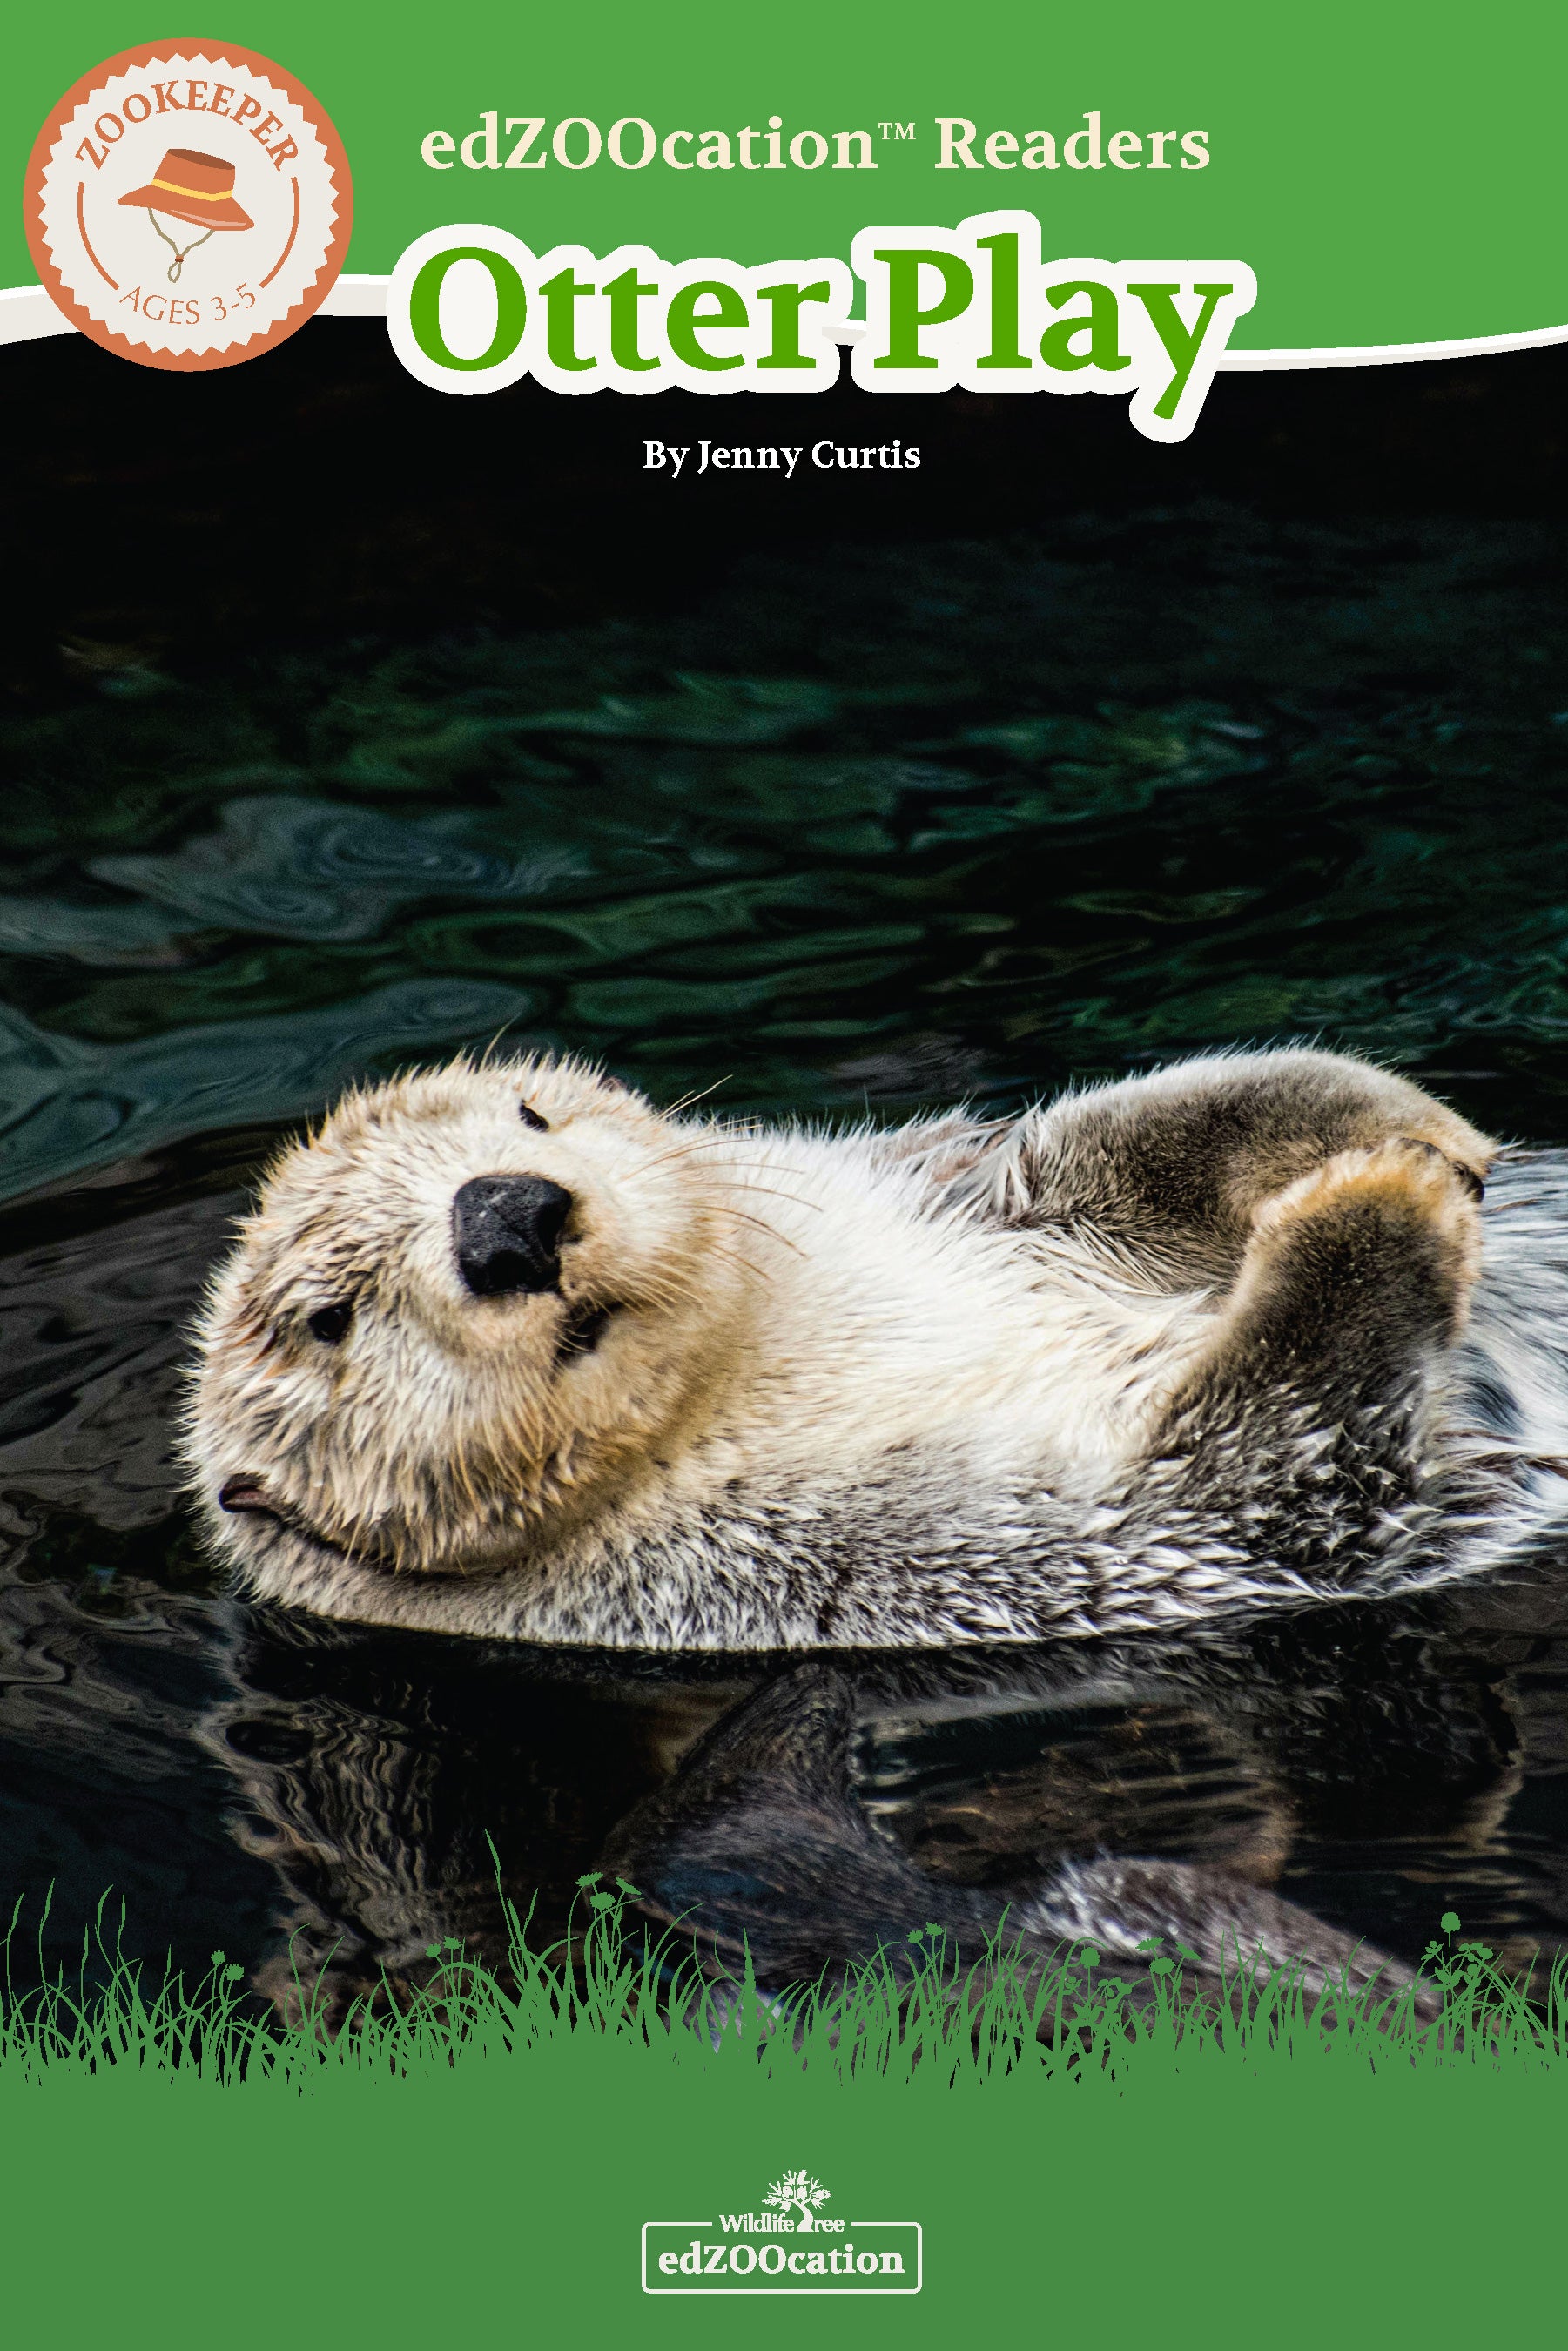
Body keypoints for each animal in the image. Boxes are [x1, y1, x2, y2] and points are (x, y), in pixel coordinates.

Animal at [184, 1045, 1568, 1649]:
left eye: (530, 1115)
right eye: (332, 1317)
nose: (508, 1218)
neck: (756, 1364)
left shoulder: (953, 1190)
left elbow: (1125, 1140)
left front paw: (1408, 1127)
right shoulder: (893, 1550)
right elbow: (1275, 1464)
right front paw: (1374, 1204)